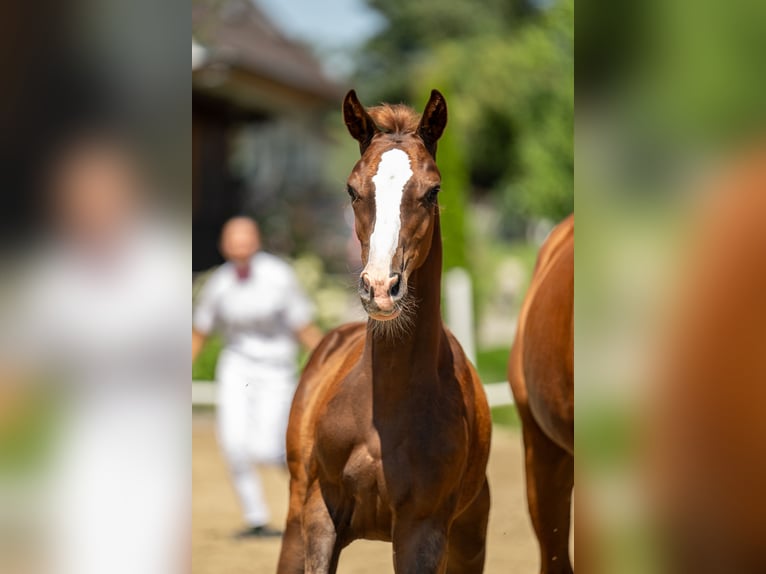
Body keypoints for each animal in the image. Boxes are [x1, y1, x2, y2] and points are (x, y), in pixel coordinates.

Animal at [276, 91, 492, 574]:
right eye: (353, 189)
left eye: (433, 191)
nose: (379, 287)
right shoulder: (320, 512)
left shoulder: (422, 529)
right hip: (295, 512)